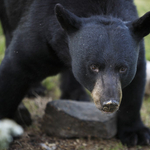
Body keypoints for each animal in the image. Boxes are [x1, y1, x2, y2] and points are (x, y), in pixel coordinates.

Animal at [0, 0, 150, 147]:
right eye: (93, 67)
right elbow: (15, 68)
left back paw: (76, 95)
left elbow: (135, 86)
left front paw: (136, 134)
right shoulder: (40, 30)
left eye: (123, 68)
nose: (109, 103)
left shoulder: (137, 52)